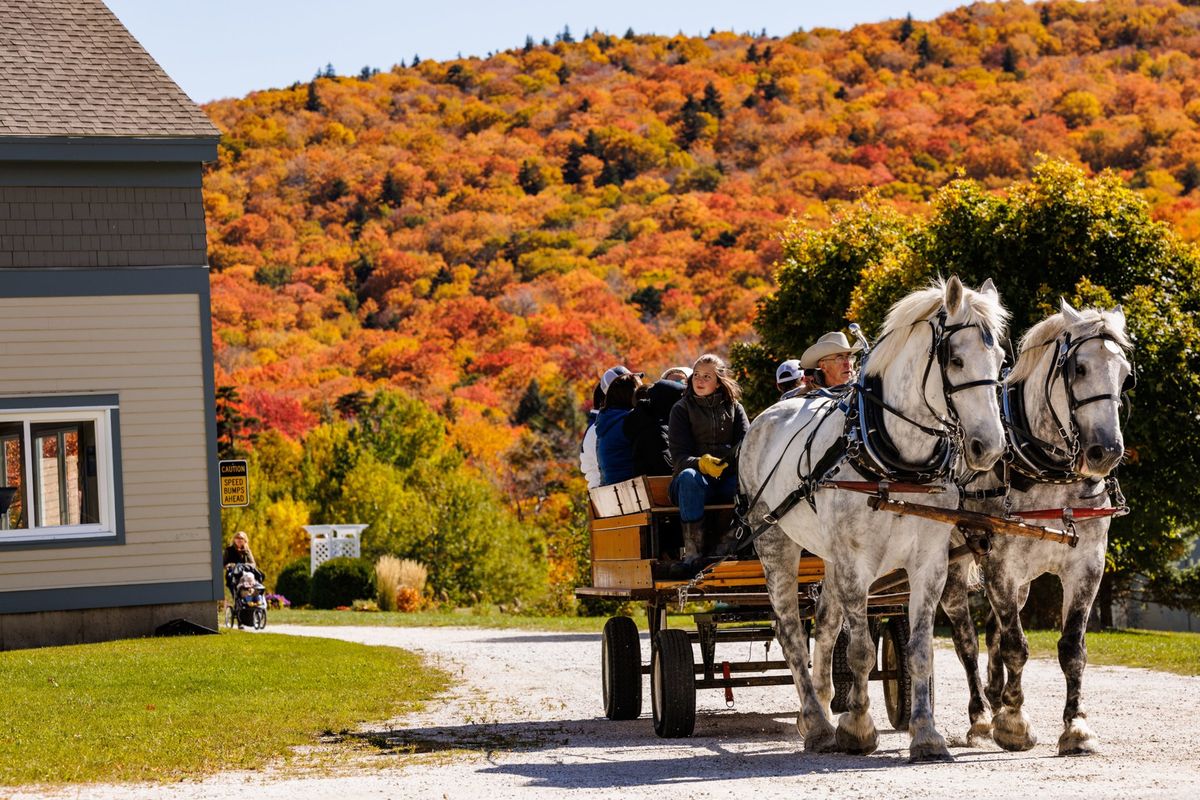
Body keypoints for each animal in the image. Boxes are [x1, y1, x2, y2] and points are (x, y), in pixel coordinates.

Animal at [739, 280, 1012, 762]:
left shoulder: (929, 563)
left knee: (825, 623)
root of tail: (767, 415)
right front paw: (858, 728)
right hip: (773, 541)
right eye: (956, 360)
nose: (989, 447)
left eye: (1000, 359)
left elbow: (919, 650)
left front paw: (926, 734)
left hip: (828, 554)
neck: (898, 461)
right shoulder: (856, 563)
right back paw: (816, 722)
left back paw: (820, 706)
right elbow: (862, 650)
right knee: (791, 630)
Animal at [940, 302, 1128, 758]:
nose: (1106, 452)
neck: (1049, 473)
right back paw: (981, 716)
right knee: (966, 638)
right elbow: (1016, 646)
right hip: (951, 566)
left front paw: (1076, 728)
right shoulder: (1001, 565)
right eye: (1079, 368)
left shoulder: (1086, 565)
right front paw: (1014, 722)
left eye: (1126, 375)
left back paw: (994, 696)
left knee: (992, 631)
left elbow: (1071, 649)